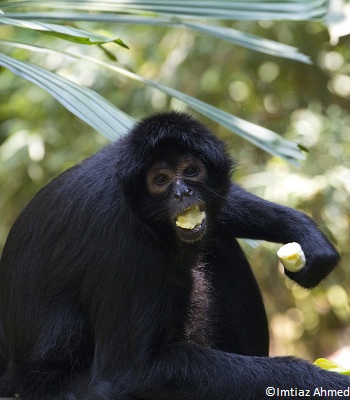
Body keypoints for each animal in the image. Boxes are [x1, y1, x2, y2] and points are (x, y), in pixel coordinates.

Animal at [0, 112, 348, 400]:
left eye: (191, 171)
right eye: (160, 180)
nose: (182, 193)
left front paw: (304, 231)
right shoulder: (120, 239)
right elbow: (131, 373)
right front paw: (322, 382)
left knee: (219, 240)